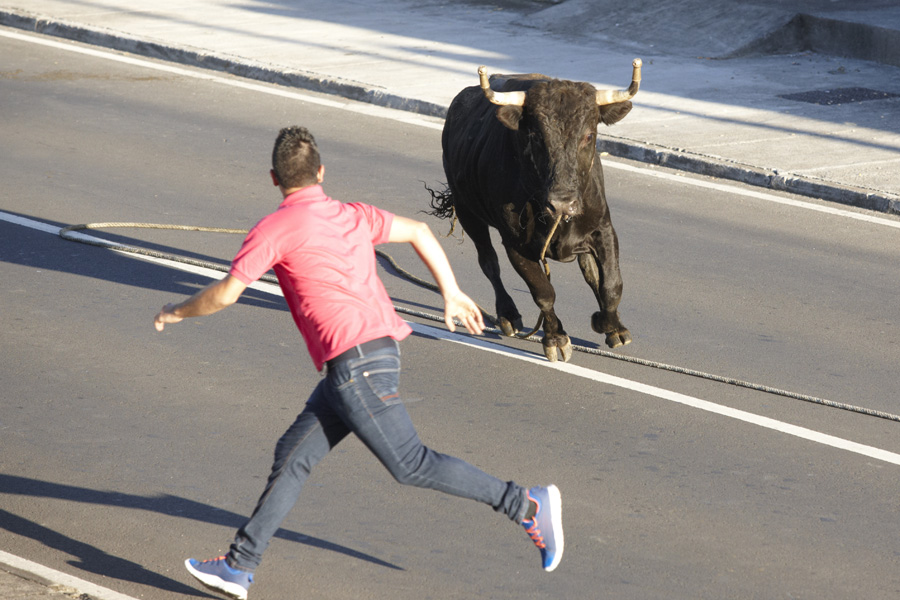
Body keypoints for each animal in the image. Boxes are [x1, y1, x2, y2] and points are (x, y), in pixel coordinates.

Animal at [428, 59, 640, 360]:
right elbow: (543, 291)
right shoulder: (516, 244)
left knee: (590, 271)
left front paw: (611, 326)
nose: (563, 203)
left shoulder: (604, 229)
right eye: (536, 136)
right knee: (489, 262)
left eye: (589, 135)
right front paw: (556, 339)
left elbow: (611, 284)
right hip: (468, 213)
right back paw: (508, 316)